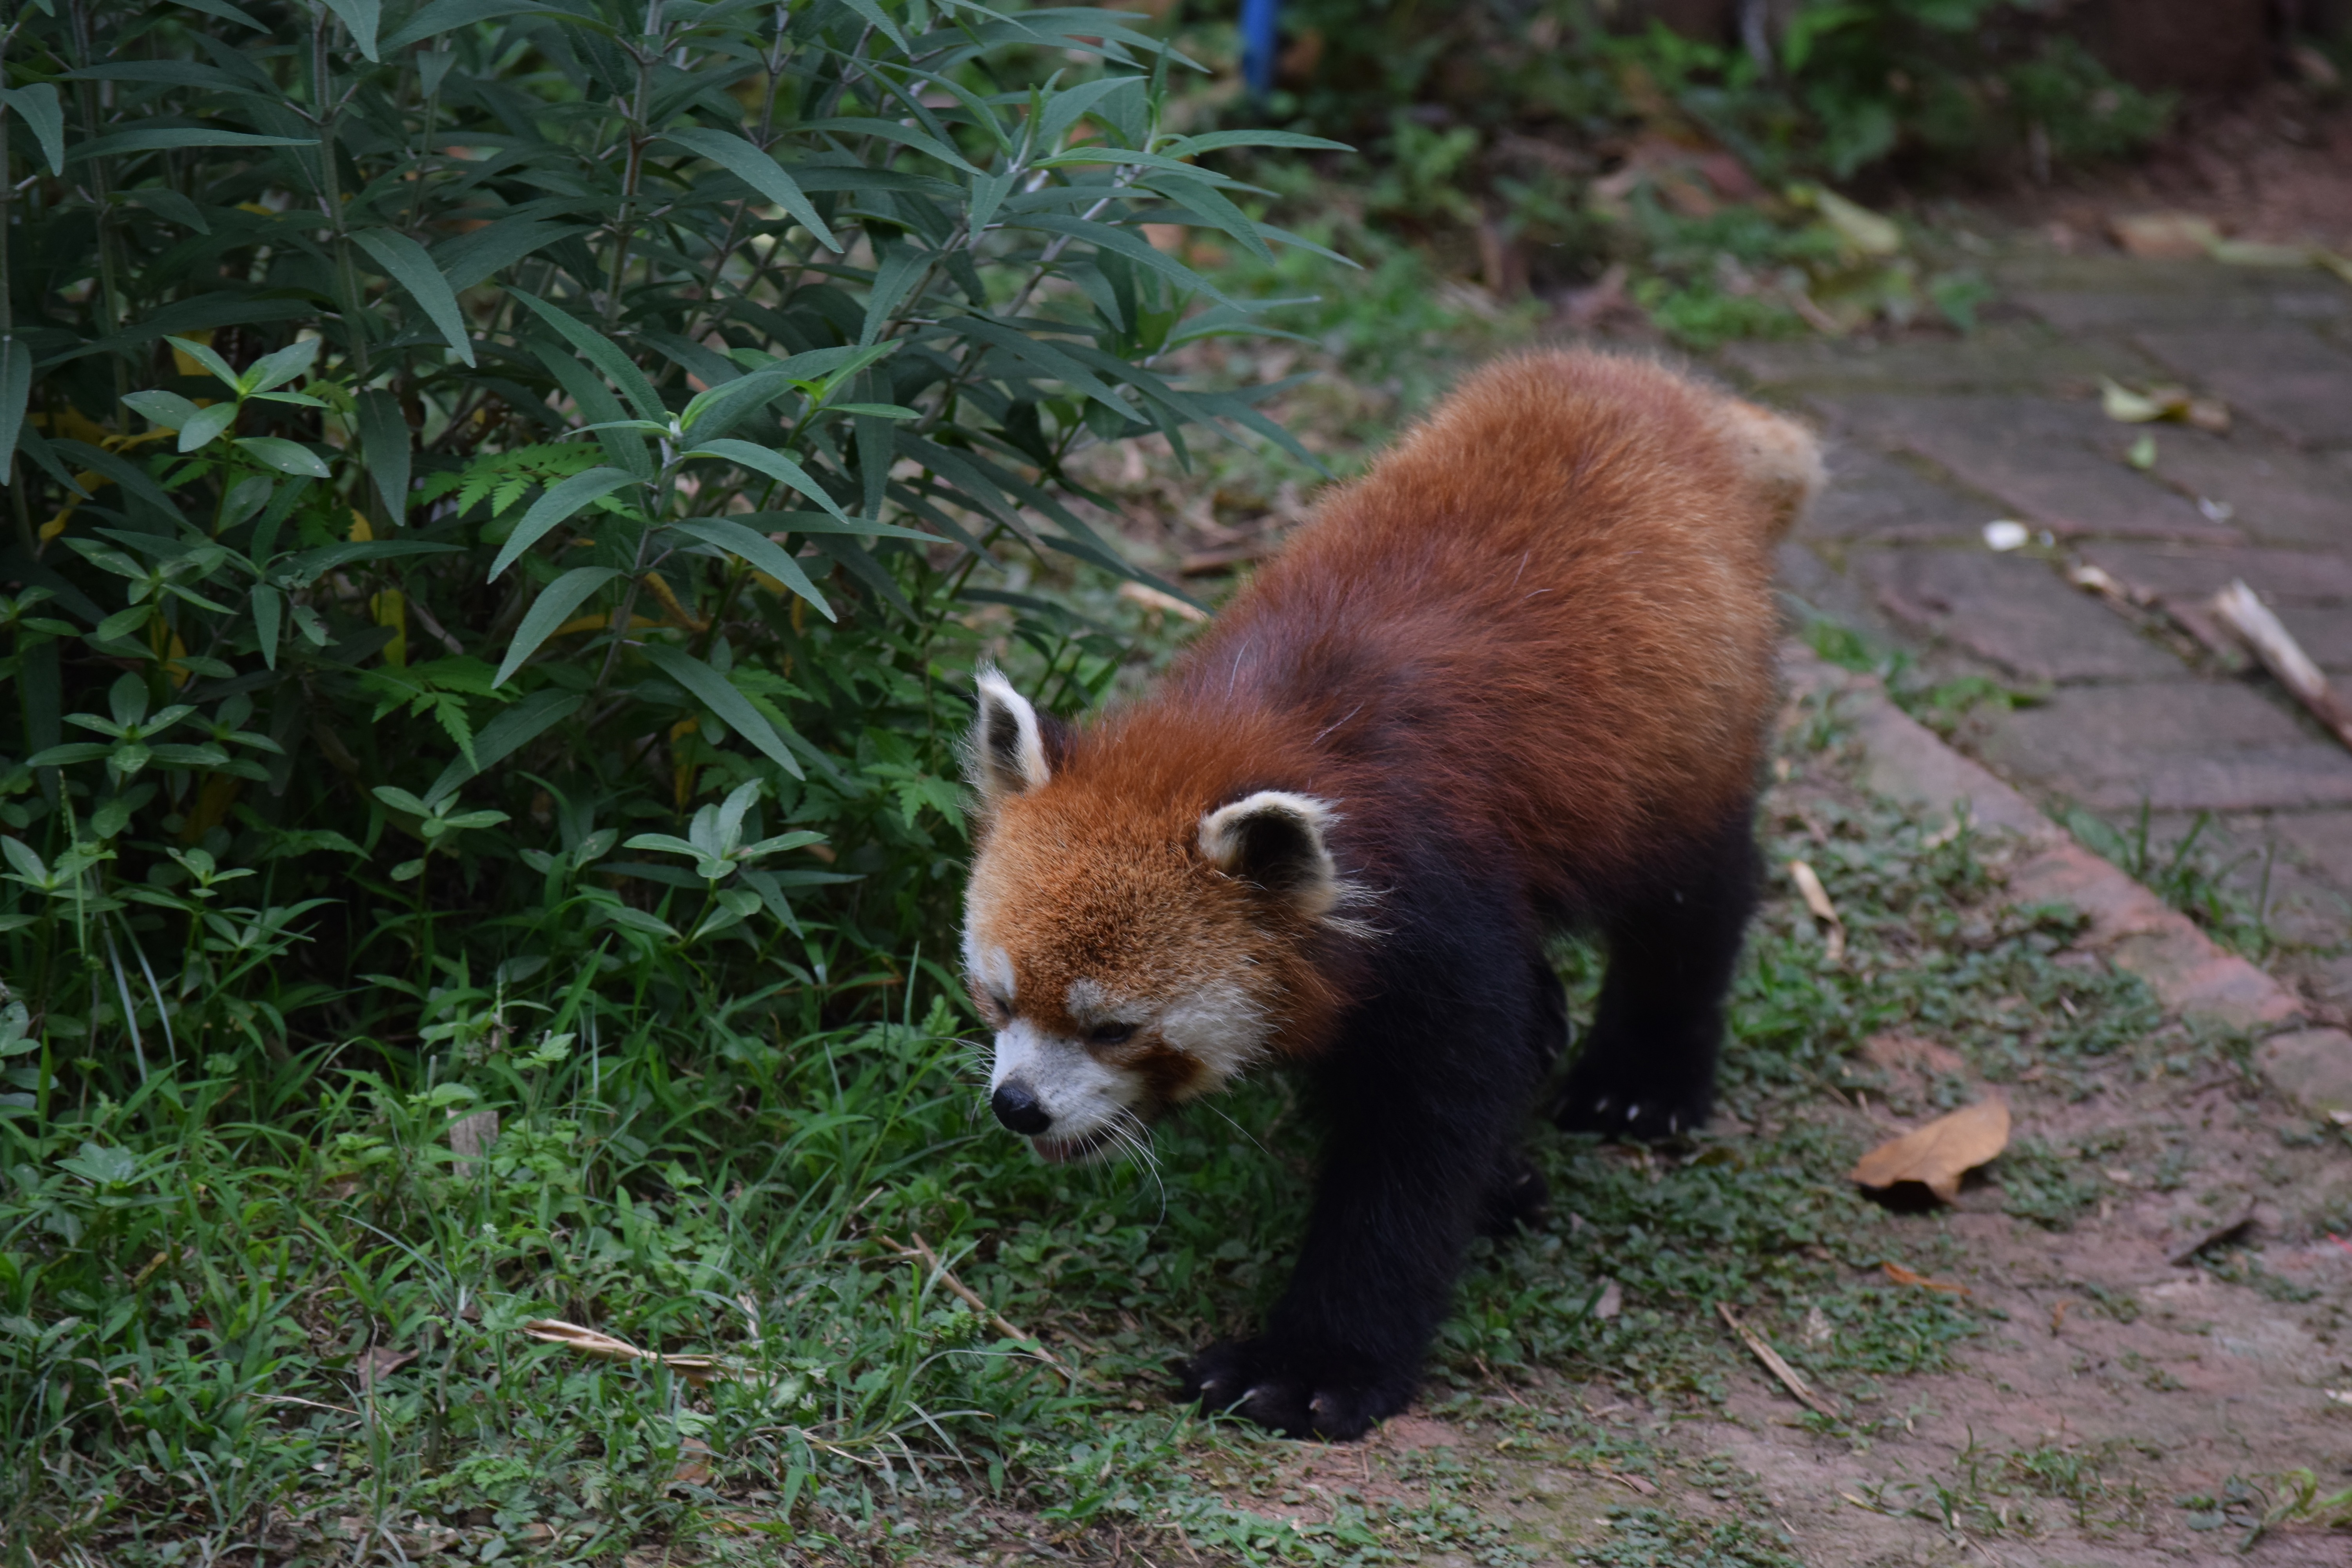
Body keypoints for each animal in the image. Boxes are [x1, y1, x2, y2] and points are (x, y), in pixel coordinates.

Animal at [958, 348, 1822, 1440]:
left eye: (1114, 1028)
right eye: (997, 997)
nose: (1018, 1106)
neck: (1247, 734)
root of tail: (1663, 388)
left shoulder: (1440, 906)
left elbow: (1419, 1145)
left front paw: (1308, 1368)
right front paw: (1499, 1182)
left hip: (1680, 735)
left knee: (1692, 901)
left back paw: (1644, 1080)